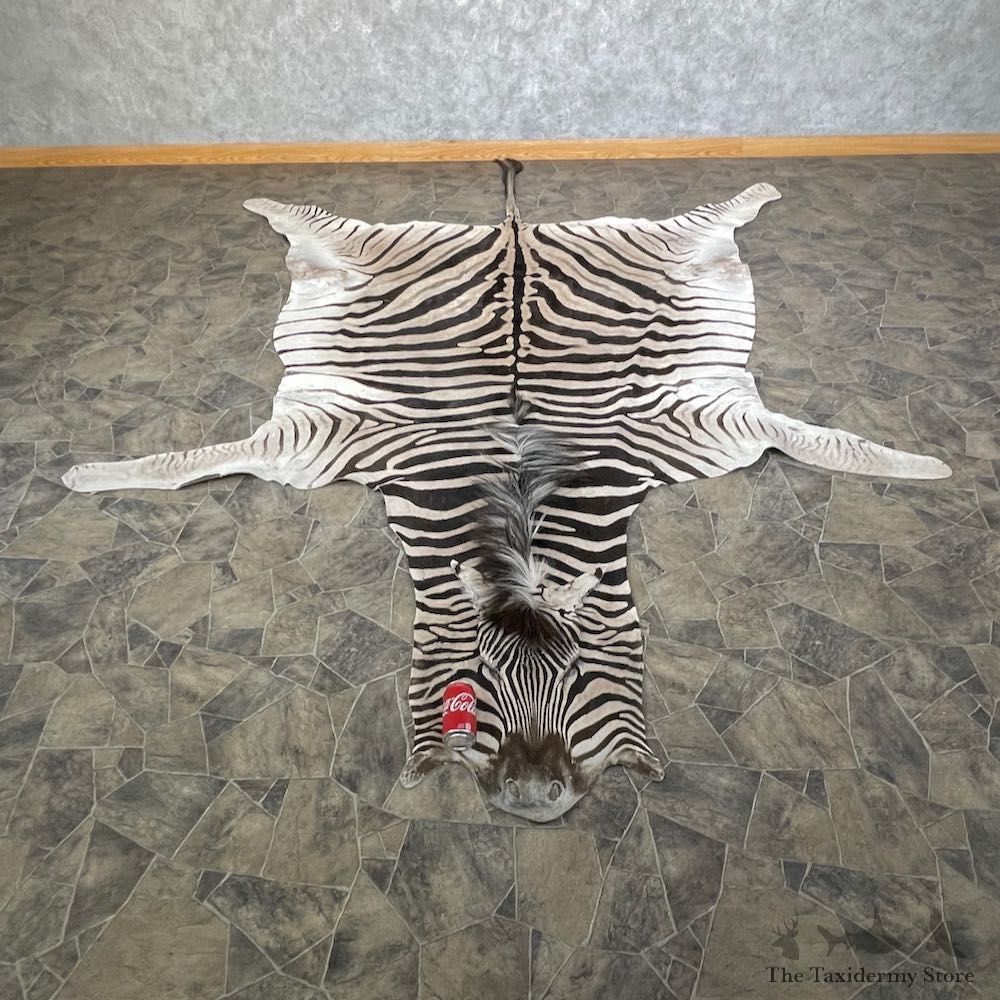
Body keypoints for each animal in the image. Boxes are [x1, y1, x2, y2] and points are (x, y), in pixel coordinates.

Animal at [62, 161, 950, 821]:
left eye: (578, 677)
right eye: (480, 680)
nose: (531, 797)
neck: (517, 483)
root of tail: (514, 234)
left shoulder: (701, 424)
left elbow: (824, 440)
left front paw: (930, 467)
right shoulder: (327, 438)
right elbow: (190, 460)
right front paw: (80, 475)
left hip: (652, 243)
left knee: (712, 213)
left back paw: (761, 188)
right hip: (372, 250)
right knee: (308, 214)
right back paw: (259, 198)